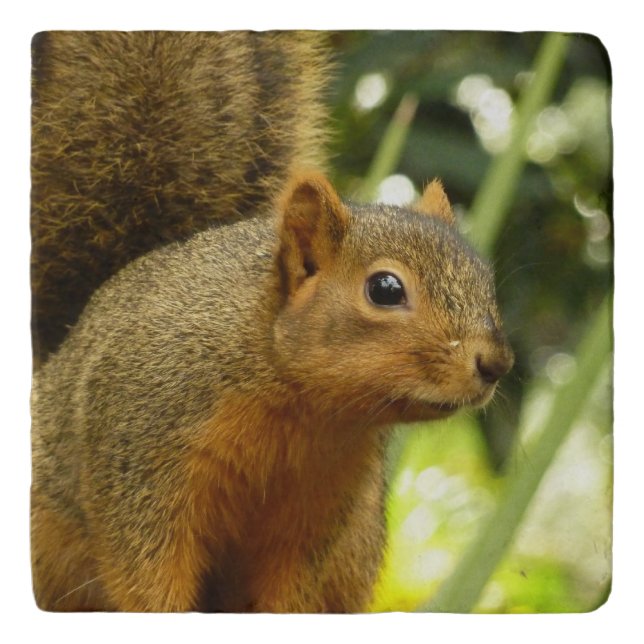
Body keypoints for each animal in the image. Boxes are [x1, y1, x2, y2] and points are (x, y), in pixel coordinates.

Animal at [30, 32, 514, 612]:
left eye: (484, 276)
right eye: (385, 289)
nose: (496, 363)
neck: (300, 408)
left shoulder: (319, 509)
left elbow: (289, 589)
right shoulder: (141, 455)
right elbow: (145, 571)